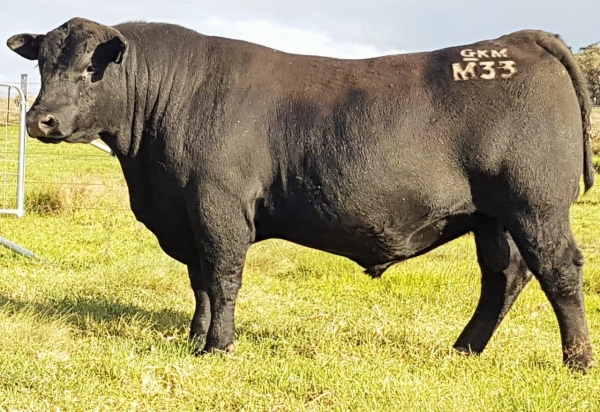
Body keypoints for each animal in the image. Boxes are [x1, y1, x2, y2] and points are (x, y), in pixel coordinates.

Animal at [7, 17, 596, 370]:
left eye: (91, 68)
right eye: (42, 63)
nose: (41, 120)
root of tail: (517, 39)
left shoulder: (219, 206)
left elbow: (223, 277)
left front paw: (220, 346)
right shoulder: (187, 213)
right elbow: (199, 281)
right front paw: (195, 339)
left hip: (536, 205)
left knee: (559, 271)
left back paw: (577, 360)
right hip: (491, 216)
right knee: (504, 275)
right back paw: (464, 349)